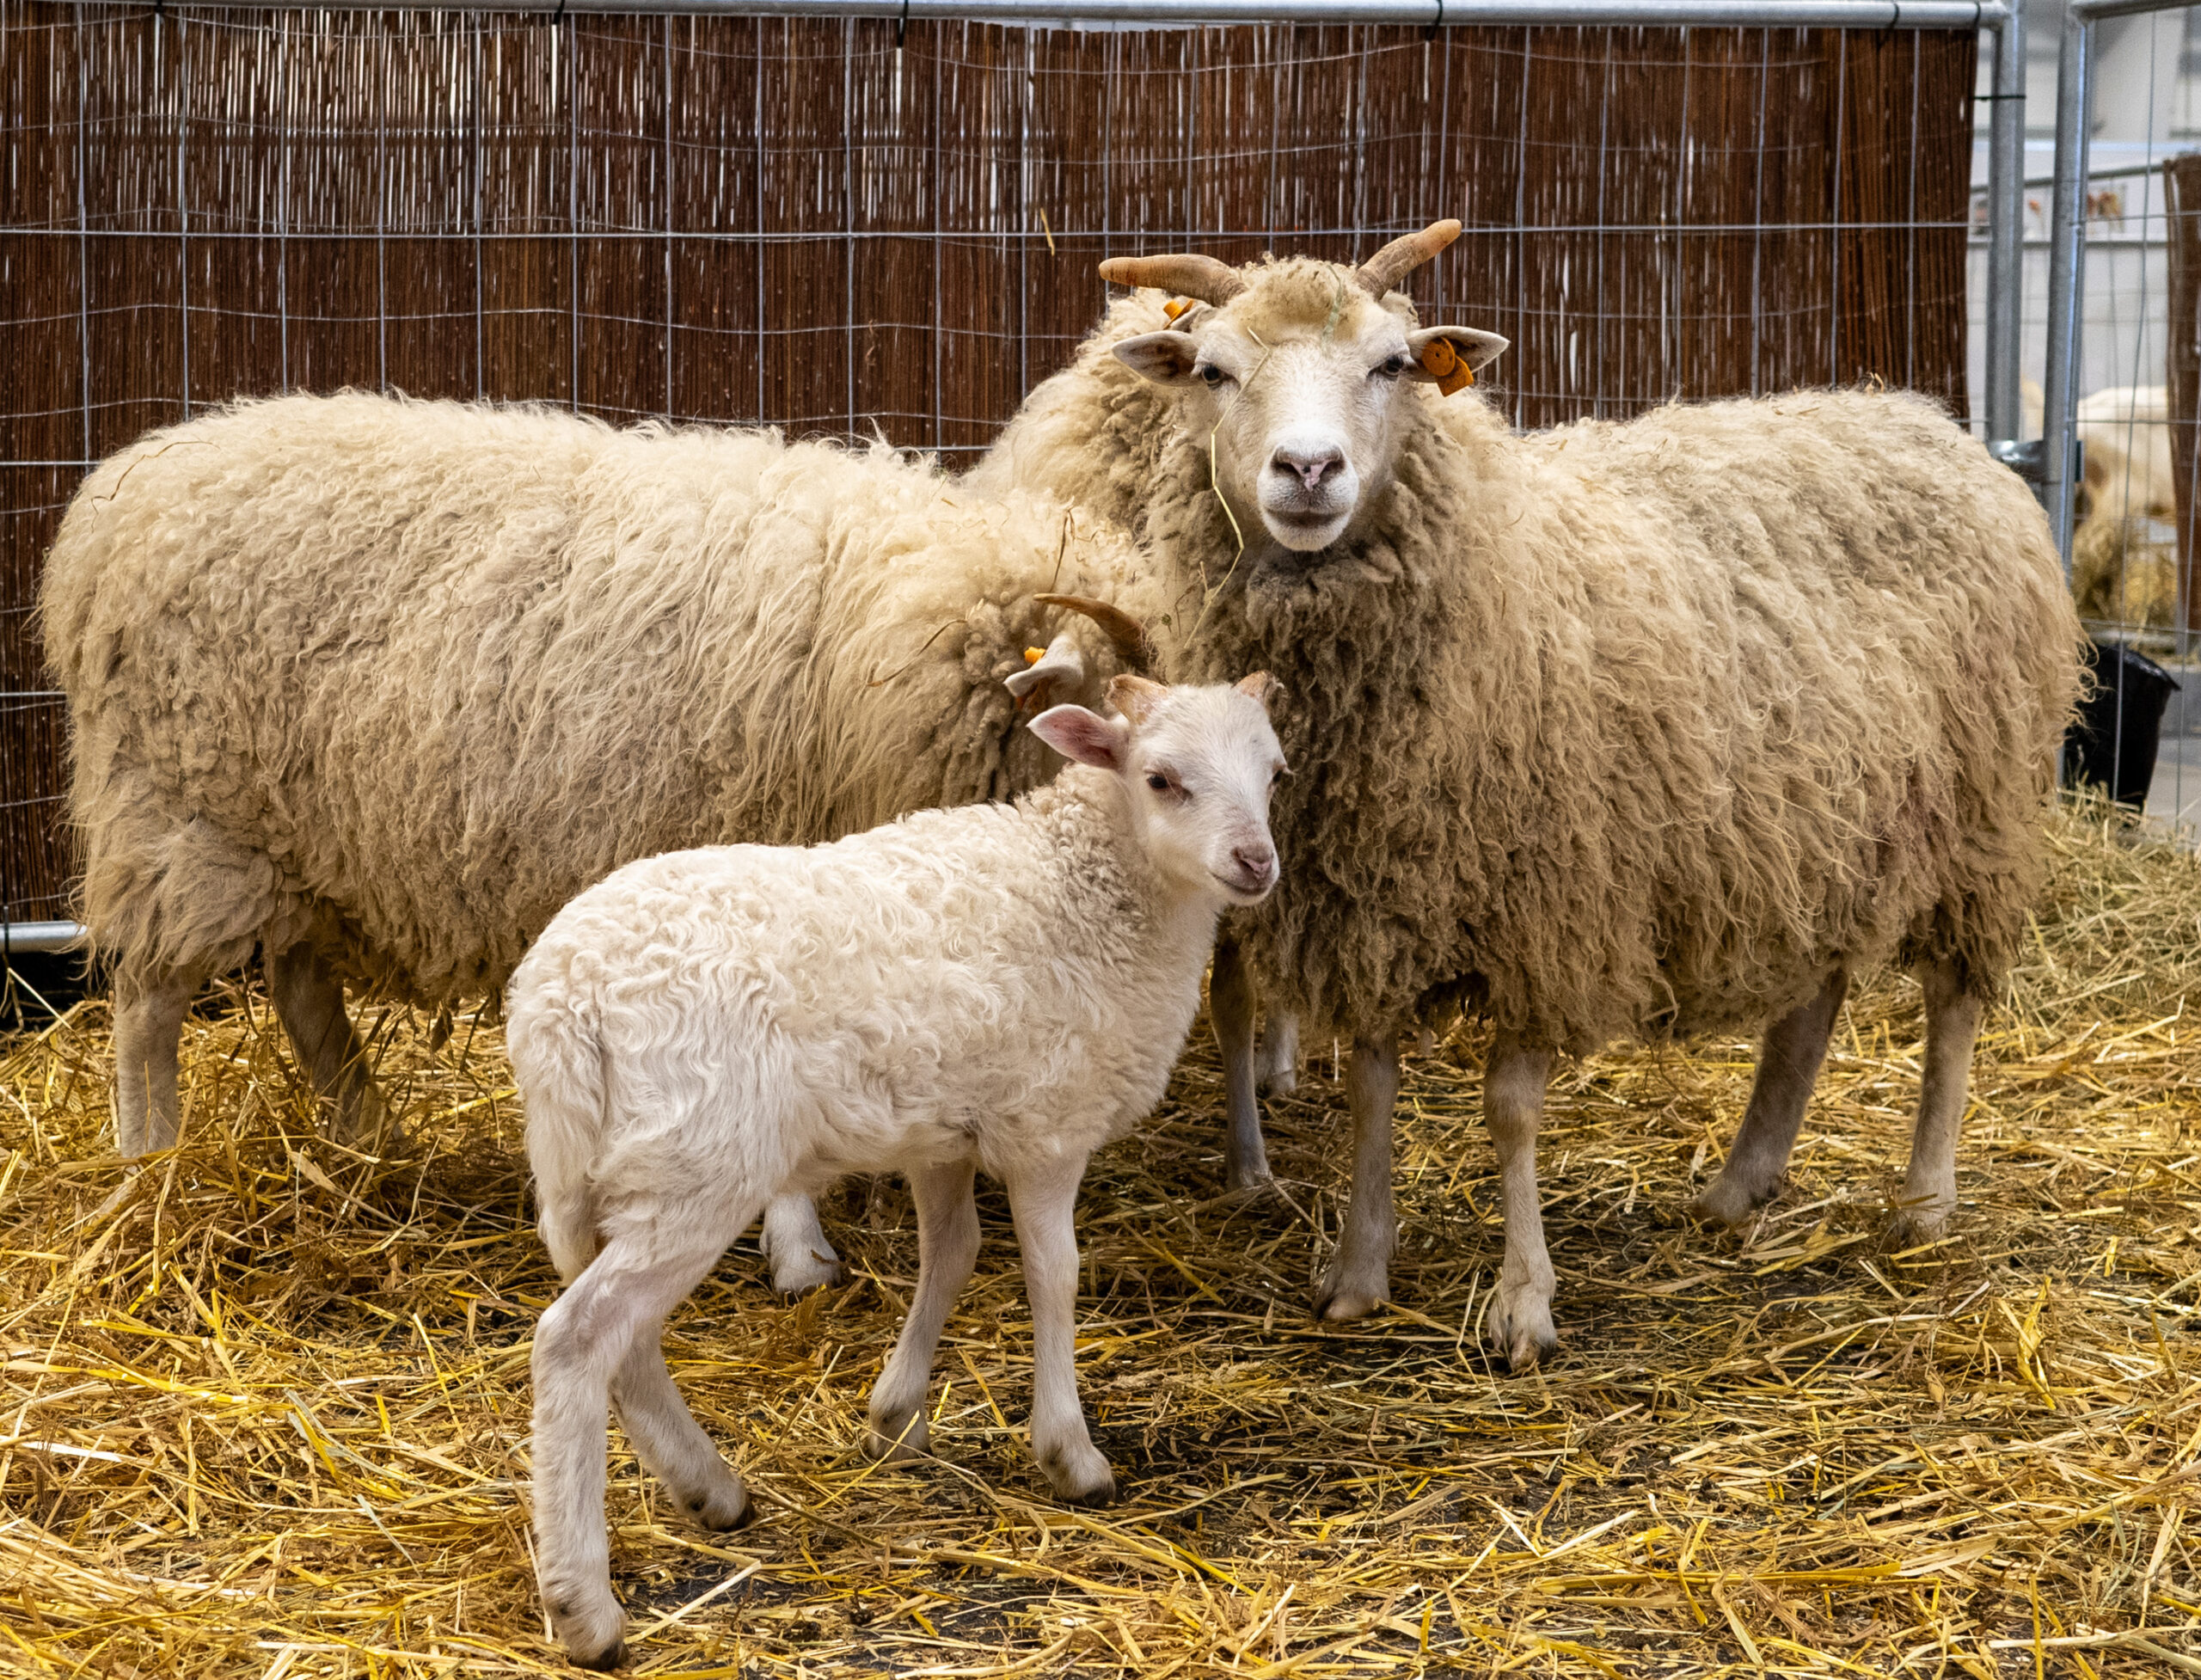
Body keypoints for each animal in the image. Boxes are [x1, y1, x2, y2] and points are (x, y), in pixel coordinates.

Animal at [39, 391, 1153, 1285]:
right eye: (1112, 716)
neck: (888, 639)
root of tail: (117, 499)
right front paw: (798, 1242)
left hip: (302, 834)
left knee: (302, 985)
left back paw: (370, 1139)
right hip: (181, 816)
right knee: (149, 1004)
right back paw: (148, 1166)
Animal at [506, 669, 1285, 1673]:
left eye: (1275, 773)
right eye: (1161, 779)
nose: (1255, 862)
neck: (1090, 882)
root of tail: (563, 1001)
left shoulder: (941, 1133)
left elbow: (950, 1255)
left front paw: (896, 1415)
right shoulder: (1048, 1125)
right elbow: (1055, 1276)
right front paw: (1069, 1454)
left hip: (609, 1175)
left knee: (625, 1344)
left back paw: (710, 1488)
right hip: (697, 1163)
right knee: (577, 1340)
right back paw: (586, 1608)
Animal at [981, 220, 2077, 1364]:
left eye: (1392, 364)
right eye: (1213, 372)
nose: (1309, 468)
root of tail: (1927, 421)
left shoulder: (1545, 905)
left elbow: (1510, 1108)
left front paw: (1522, 1304)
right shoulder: (1373, 900)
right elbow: (1372, 1080)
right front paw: (1359, 1270)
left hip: (1980, 821)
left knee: (1953, 1006)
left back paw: (1925, 1200)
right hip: (1817, 820)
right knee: (1811, 999)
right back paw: (1742, 1181)